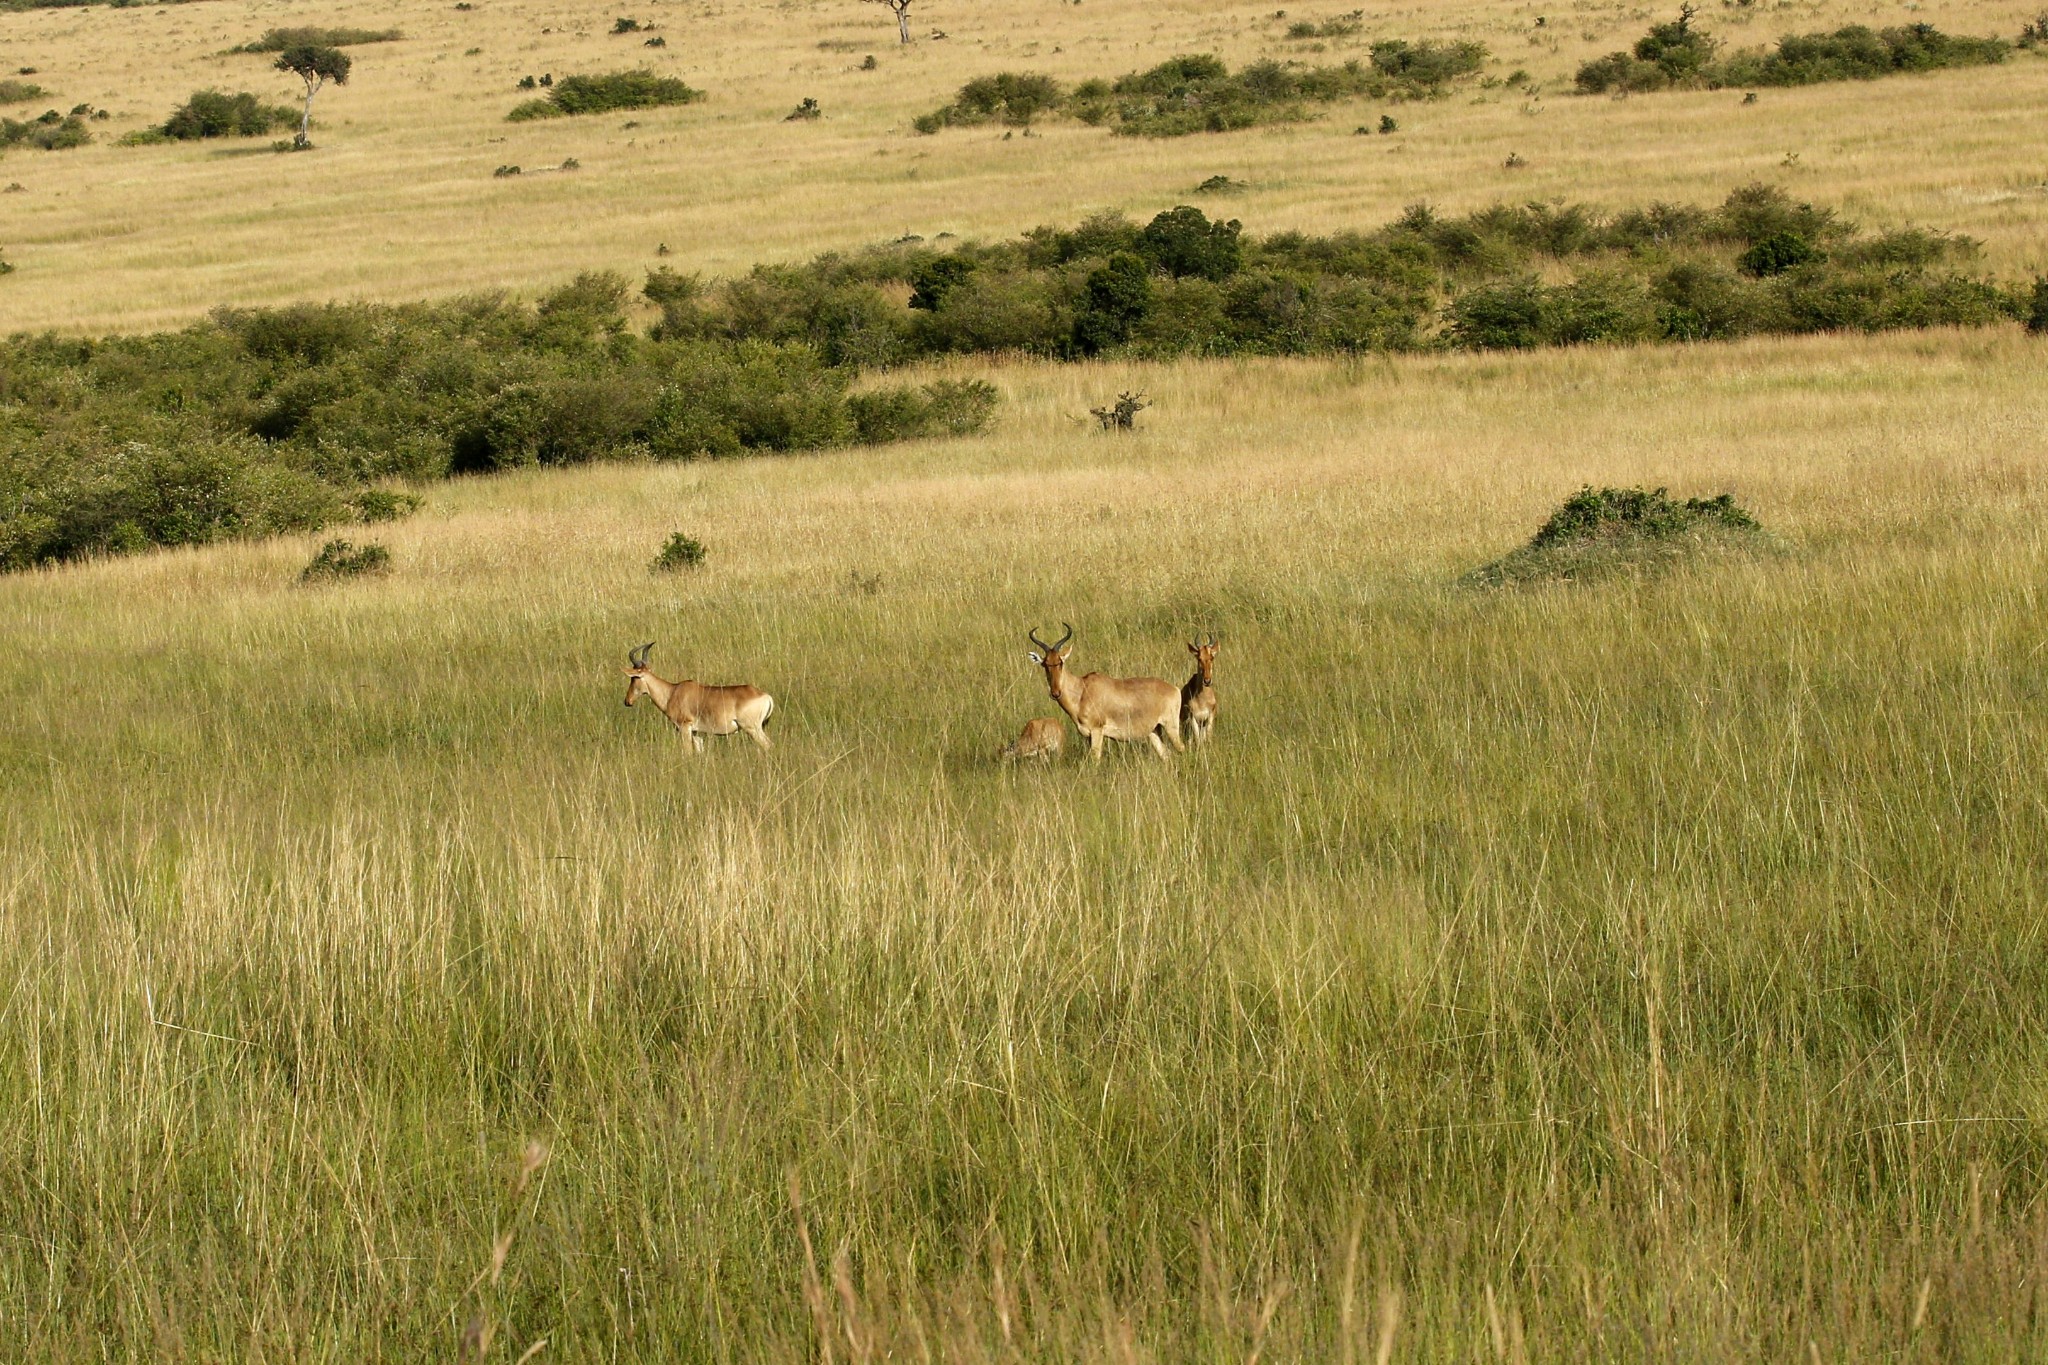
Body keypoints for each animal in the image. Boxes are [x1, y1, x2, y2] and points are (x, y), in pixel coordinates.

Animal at [618, 642, 770, 753]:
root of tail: (766, 696)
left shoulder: (684, 727)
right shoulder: (696, 732)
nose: (627, 701)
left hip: (752, 728)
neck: (673, 691)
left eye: (634, 678)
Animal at [1024, 626, 1187, 765]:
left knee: (1181, 748)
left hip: (1170, 726)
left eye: (1060, 662)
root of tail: (1174, 689)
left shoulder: (1097, 731)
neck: (1082, 690)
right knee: (1166, 755)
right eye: (1045, 664)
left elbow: (1095, 760)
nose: (1055, 693)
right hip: (1154, 731)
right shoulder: (1089, 736)